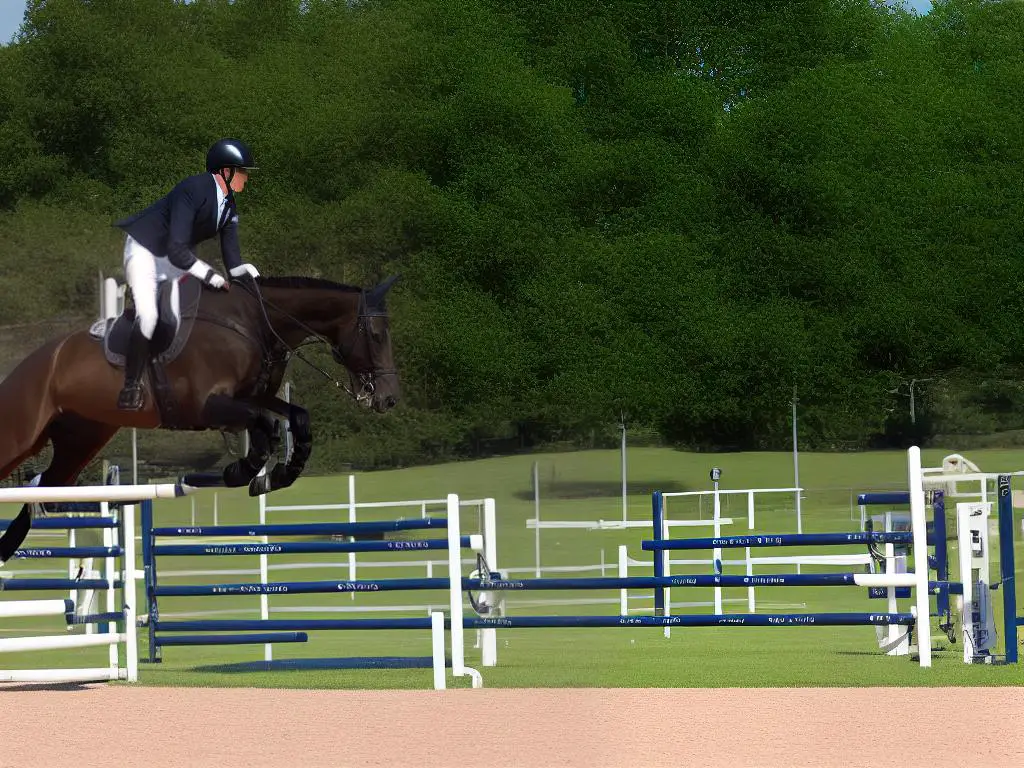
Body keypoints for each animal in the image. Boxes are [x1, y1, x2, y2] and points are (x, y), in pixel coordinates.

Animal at [0, 274, 399, 561]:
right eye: (377, 335)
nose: (388, 398)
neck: (254, 323)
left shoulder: (252, 397)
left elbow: (296, 419)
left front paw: (276, 475)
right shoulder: (210, 405)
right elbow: (265, 427)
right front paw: (243, 471)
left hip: (82, 438)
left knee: (41, 493)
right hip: (22, 436)